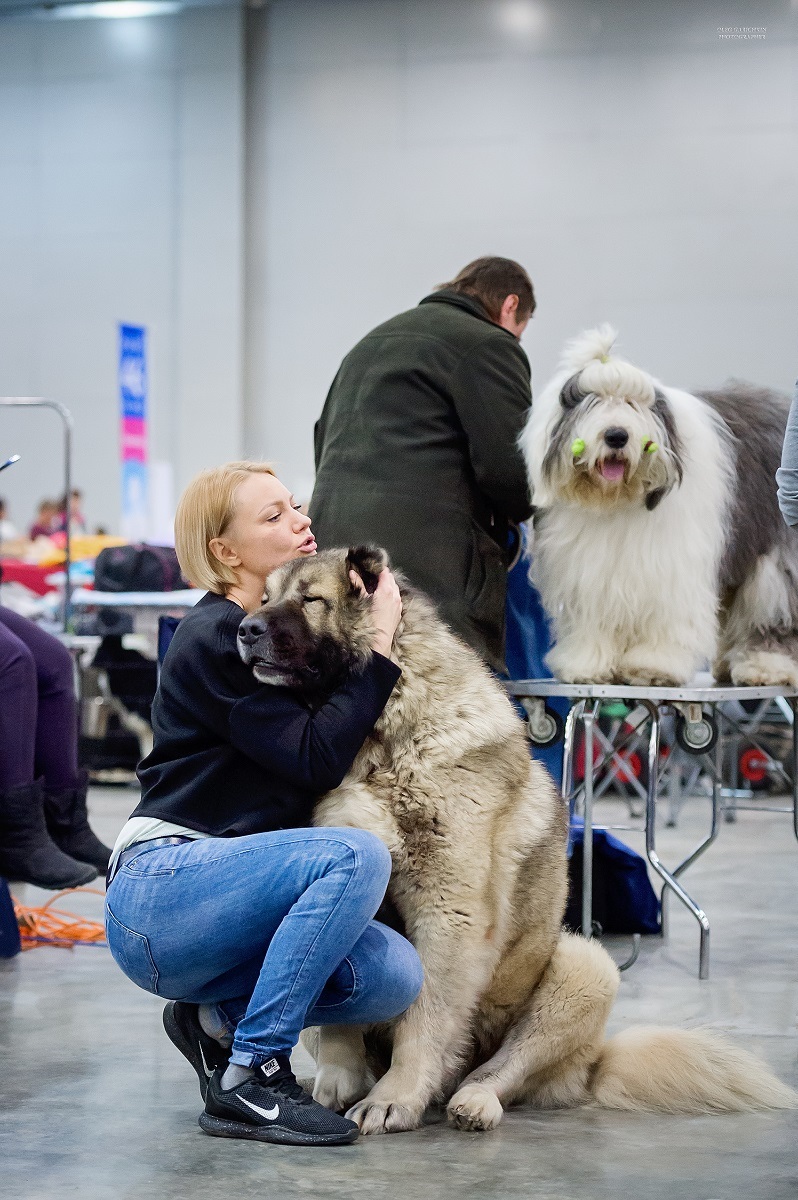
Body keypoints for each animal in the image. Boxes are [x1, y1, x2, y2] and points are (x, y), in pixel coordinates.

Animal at [235, 549, 792, 1132]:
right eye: (265, 597)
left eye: (311, 600)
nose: (245, 629)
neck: (387, 739)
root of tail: (593, 1066)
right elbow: (339, 1014)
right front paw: (338, 1085)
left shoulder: (450, 914)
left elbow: (423, 1019)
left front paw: (396, 1098)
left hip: (584, 967)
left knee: (501, 1069)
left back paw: (472, 1102)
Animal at [516, 324, 796, 691]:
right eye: (592, 401)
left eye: (632, 403)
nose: (617, 435)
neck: (615, 502)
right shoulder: (590, 568)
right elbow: (594, 618)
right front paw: (587, 664)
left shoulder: (670, 566)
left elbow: (666, 618)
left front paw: (653, 665)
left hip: (775, 554)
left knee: (772, 607)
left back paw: (766, 666)